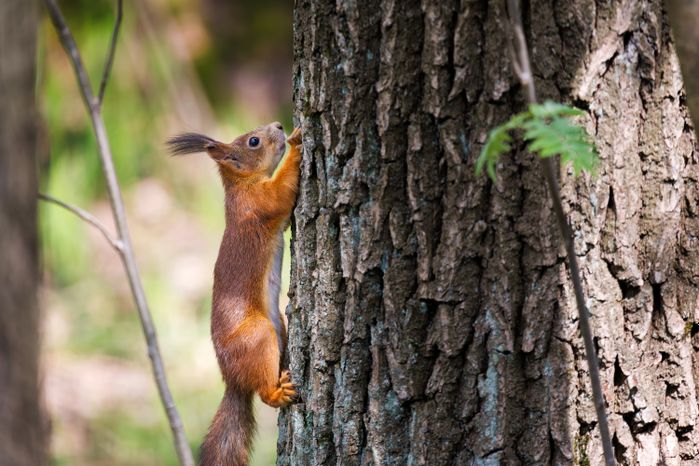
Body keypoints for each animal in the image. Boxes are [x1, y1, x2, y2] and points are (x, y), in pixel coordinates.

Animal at [167, 122, 302, 466]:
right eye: (253, 141)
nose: (278, 126)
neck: (241, 187)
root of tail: (233, 379)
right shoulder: (260, 203)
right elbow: (281, 192)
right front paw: (296, 143)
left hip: (278, 326)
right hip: (258, 336)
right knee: (264, 394)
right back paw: (278, 392)